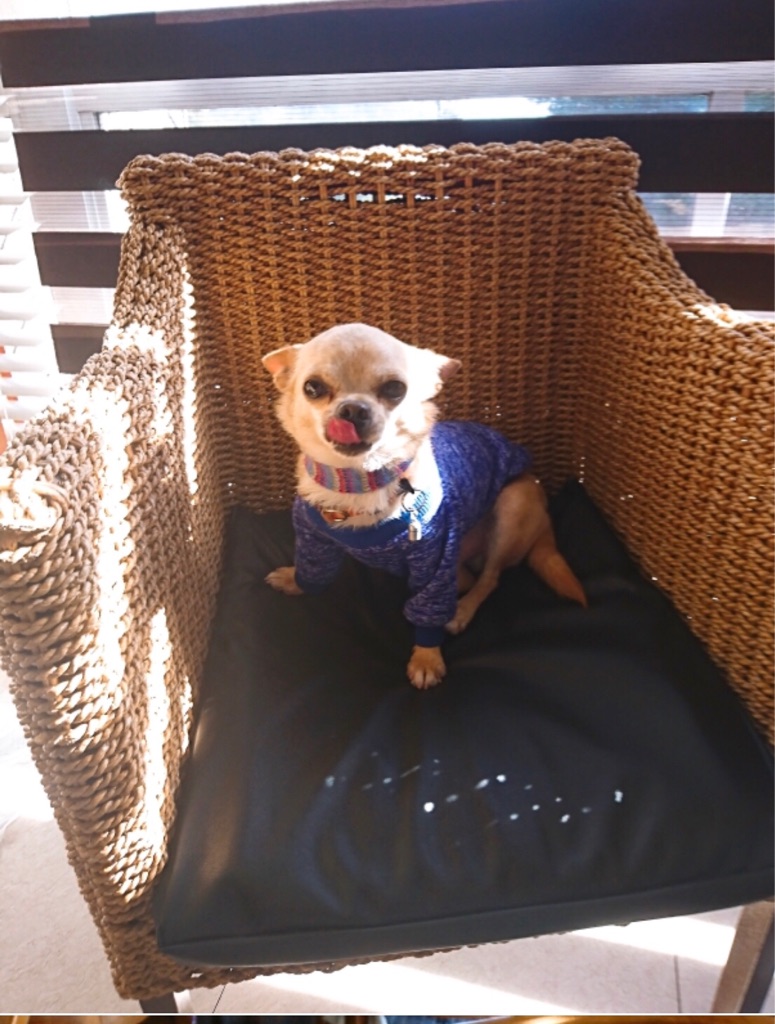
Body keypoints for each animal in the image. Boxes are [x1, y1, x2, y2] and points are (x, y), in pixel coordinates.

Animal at [262, 323, 586, 688]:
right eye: (312, 387)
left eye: (395, 389)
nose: (353, 409)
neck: (359, 479)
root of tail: (546, 519)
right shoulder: (314, 539)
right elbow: (312, 571)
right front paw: (294, 581)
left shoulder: (435, 557)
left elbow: (428, 607)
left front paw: (427, 657)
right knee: (469, 578)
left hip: (512, 506)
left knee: (489, 578)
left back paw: (461, 612)